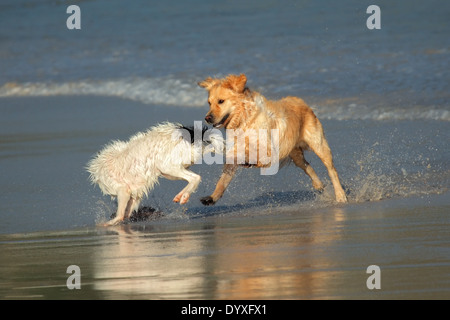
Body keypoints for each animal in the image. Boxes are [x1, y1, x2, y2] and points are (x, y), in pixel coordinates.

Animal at [86, 122, 223, 225]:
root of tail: (185, 132)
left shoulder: (123, 190)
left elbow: (120, 215)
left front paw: (108, 223)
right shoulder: (134, 193)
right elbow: (128, 211)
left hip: (167, 167)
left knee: (195, 178)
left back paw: (183, 196)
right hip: (180, 165)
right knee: (208, 154)